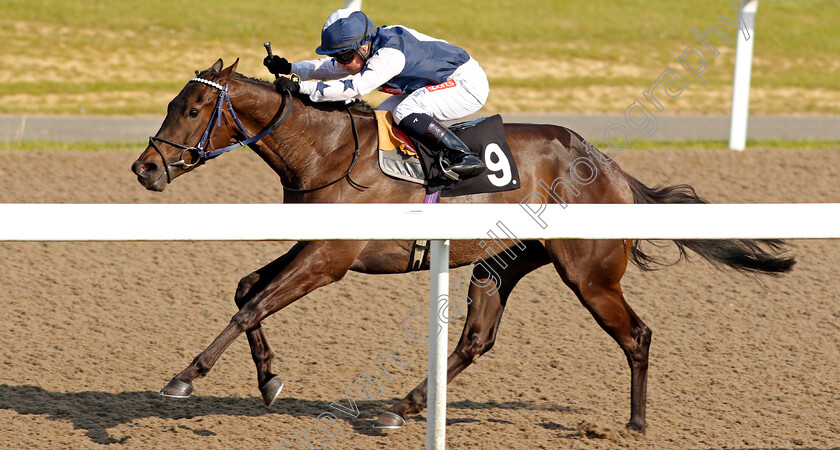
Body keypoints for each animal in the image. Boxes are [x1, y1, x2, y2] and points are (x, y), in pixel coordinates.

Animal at [130, 59, 796, 432]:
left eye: (194, 108)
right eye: (171, 103)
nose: (146, 169)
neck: (327, 150)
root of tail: (606, 165)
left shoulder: (331, 258)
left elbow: (251, 306)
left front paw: (185, 377)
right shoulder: (314, 244)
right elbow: (247, 289)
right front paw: (268, 378)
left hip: (589, 274)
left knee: (637, 334)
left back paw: (635, 422)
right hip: (499, 265)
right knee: (476, 340)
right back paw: (403, 406)